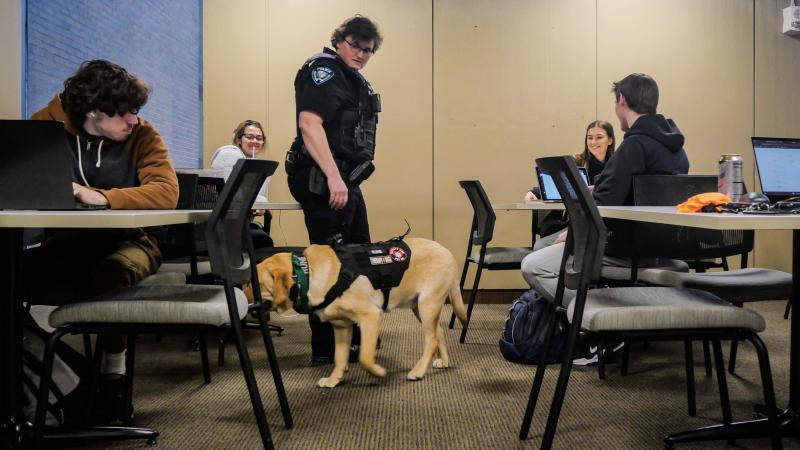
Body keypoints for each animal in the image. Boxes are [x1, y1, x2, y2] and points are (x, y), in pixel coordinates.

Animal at [247, 237, 466, 388]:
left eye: (253, 283)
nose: (242, 294)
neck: (305, 273)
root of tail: (446, 251)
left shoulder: (370, 317)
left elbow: (365, 357)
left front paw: (378, 372)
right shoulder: (341, 326)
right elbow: (339, 357)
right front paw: (334, 379)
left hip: (427, 304)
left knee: (431, 339)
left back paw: (418, 370)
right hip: (419, 307)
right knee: (439, 333)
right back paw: (444, 361)